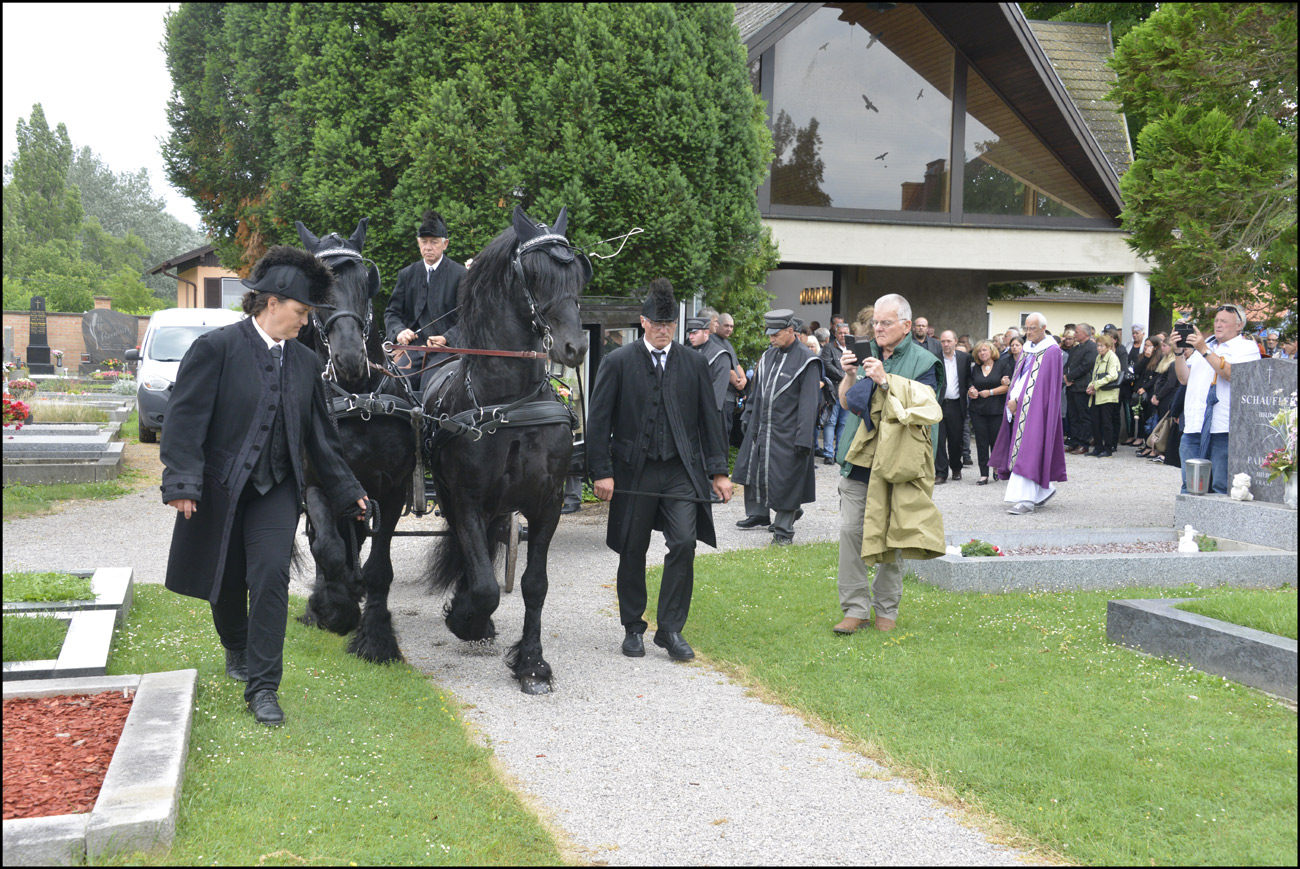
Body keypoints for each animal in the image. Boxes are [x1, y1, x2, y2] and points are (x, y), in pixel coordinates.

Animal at [295, 215, 416, 658]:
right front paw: (334, 607)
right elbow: (327, 549)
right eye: (315, 291)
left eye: (366, 281)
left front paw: (376, 638)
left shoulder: (392, 490)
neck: (358, 399)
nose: (348, 359)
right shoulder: (317, 484)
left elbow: (379, 566)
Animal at [423, 205, 592, 692]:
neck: (509, 404)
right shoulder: (465, 500)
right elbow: (484, 585)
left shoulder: (547, 503)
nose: (576, 347)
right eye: (533, 275)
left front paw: (532, 663)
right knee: (472, 560)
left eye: (577, 273)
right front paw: (467, 620)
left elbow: (535, 584)